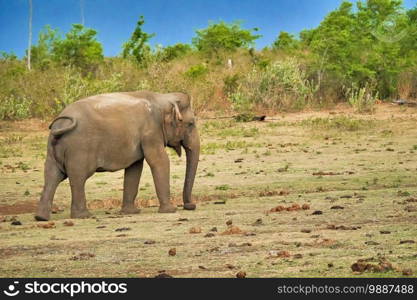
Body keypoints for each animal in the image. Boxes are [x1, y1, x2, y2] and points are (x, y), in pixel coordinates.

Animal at [34, 89, 200, 220]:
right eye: (191, 124)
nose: (190, 205)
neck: (162, 97)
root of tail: (60, 123)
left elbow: (135, 167)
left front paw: (131, 212)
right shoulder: (151, 132)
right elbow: (159, 161)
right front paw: (170, 210)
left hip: (53, 150)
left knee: (52, 176)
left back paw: (41, 217)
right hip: (79, 149)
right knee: (78, 178)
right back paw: (83, 216)